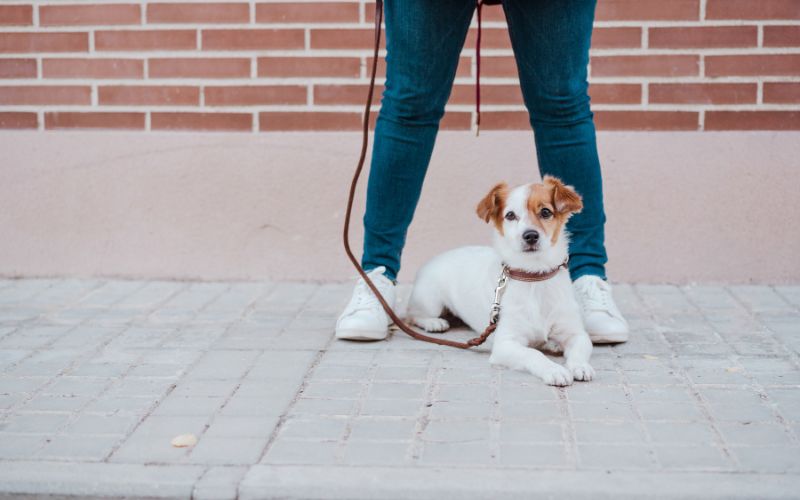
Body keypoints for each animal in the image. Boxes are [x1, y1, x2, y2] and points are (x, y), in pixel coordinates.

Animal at [406, 176, 592, 386]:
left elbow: (578, 351)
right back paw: (433, 323)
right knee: (413, 315)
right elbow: (533, 354)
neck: (534, 277)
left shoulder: (577, 334)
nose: (530, 235)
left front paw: (580, 366)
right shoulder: (505, 344)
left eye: (546, 212)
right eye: (510, 215)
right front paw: (554, 369)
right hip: (431, 302)